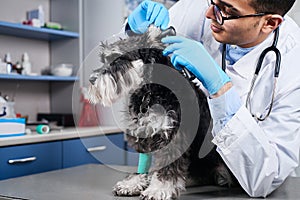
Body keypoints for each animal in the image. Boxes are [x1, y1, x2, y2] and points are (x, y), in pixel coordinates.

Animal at [88, 25, 236, 199]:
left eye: (118, 59)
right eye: (104, 59)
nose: (91, 79)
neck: (150, 90)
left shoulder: (173, 135)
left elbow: (168, 167)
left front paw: (158, 189)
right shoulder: (145, 133)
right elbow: (143, 162)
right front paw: (134, 183)